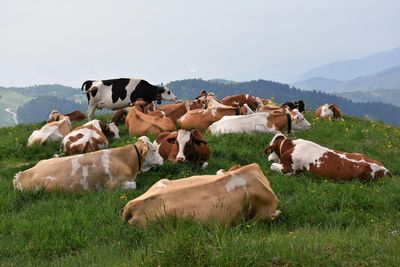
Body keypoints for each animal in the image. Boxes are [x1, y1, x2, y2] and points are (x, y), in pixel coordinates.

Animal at [264, 134, 392, 182]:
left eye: (271, 147)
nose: (268, 158)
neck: (291, 146)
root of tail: (386, 170)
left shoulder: (289, 170)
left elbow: (272, 166)